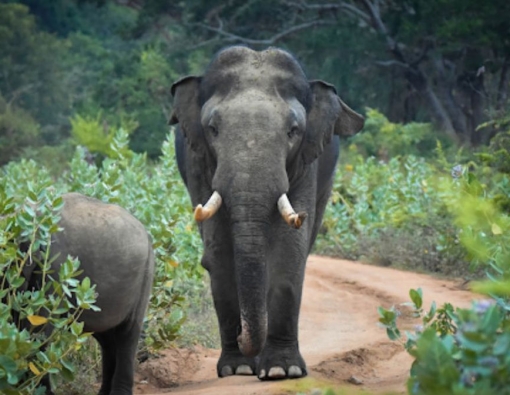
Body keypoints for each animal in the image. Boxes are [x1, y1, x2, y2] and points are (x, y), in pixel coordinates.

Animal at [169, 45, 364, 380]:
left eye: (293, 131)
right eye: (213, 130)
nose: (240, 336)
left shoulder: (307, 162)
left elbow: (289, 250)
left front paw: (281, 371)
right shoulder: (198, 162)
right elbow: (220, 253)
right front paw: (237, 368)